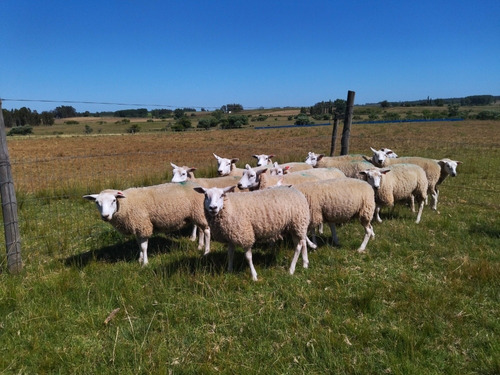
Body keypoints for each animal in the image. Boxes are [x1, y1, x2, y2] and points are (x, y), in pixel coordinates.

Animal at [83, 181, 211, 264]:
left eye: (114, 200)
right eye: (97, 202)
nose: (105, 216)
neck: (126, 203)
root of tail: (196, 185)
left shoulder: (143, 225)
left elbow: (144, 247)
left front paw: (145, 263)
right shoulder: (137, 227)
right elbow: (139, 245)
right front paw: (139, 259)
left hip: (199, 212)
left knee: (207, 231)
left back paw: (206, 251)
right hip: (196, 215)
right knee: (201, 230)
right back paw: (200, 246)